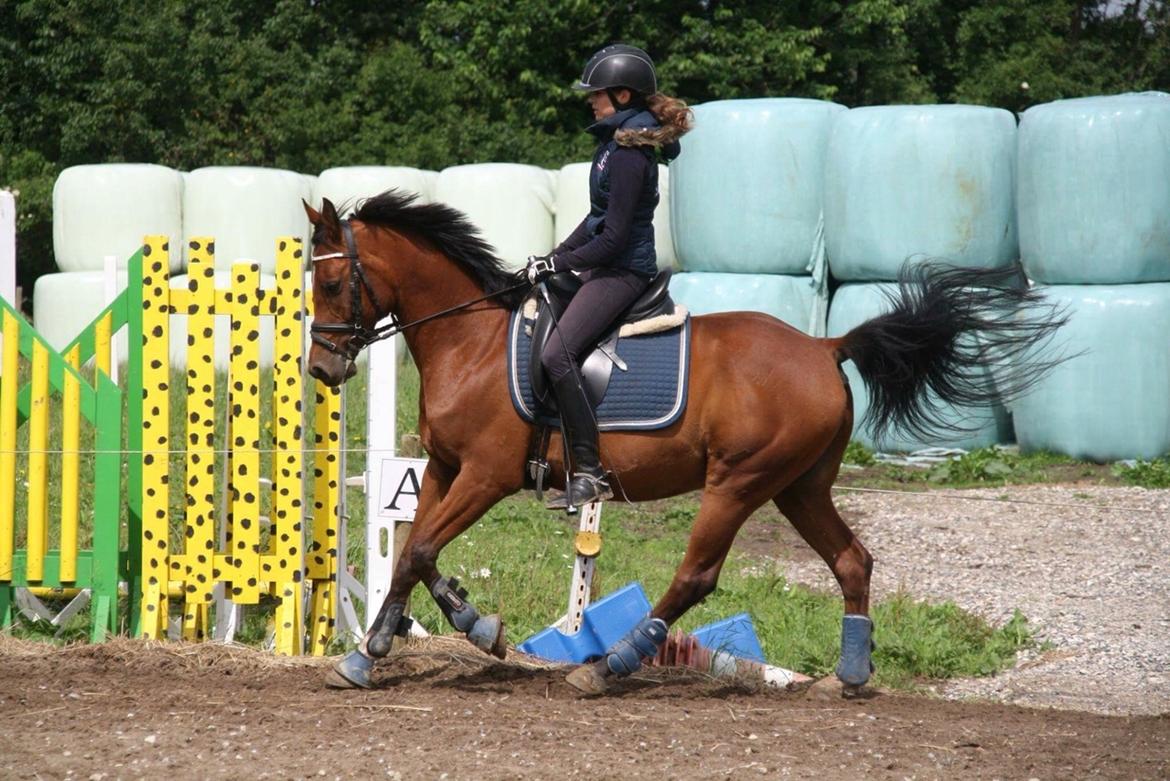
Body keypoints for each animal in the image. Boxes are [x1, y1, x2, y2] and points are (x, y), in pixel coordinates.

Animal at [302, 191, 1065, 695]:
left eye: (335, 281)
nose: (321, 371)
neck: (471, 343)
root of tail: (825, 347)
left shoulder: (485, 475)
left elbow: (419, 549)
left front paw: (391, 648)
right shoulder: (443, 469)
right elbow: (414, 551)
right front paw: (417, 635)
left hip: (738, 482)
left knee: (697, 574)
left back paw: (607, 667)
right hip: (799, 487)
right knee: (852, 560)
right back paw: (849, 676)